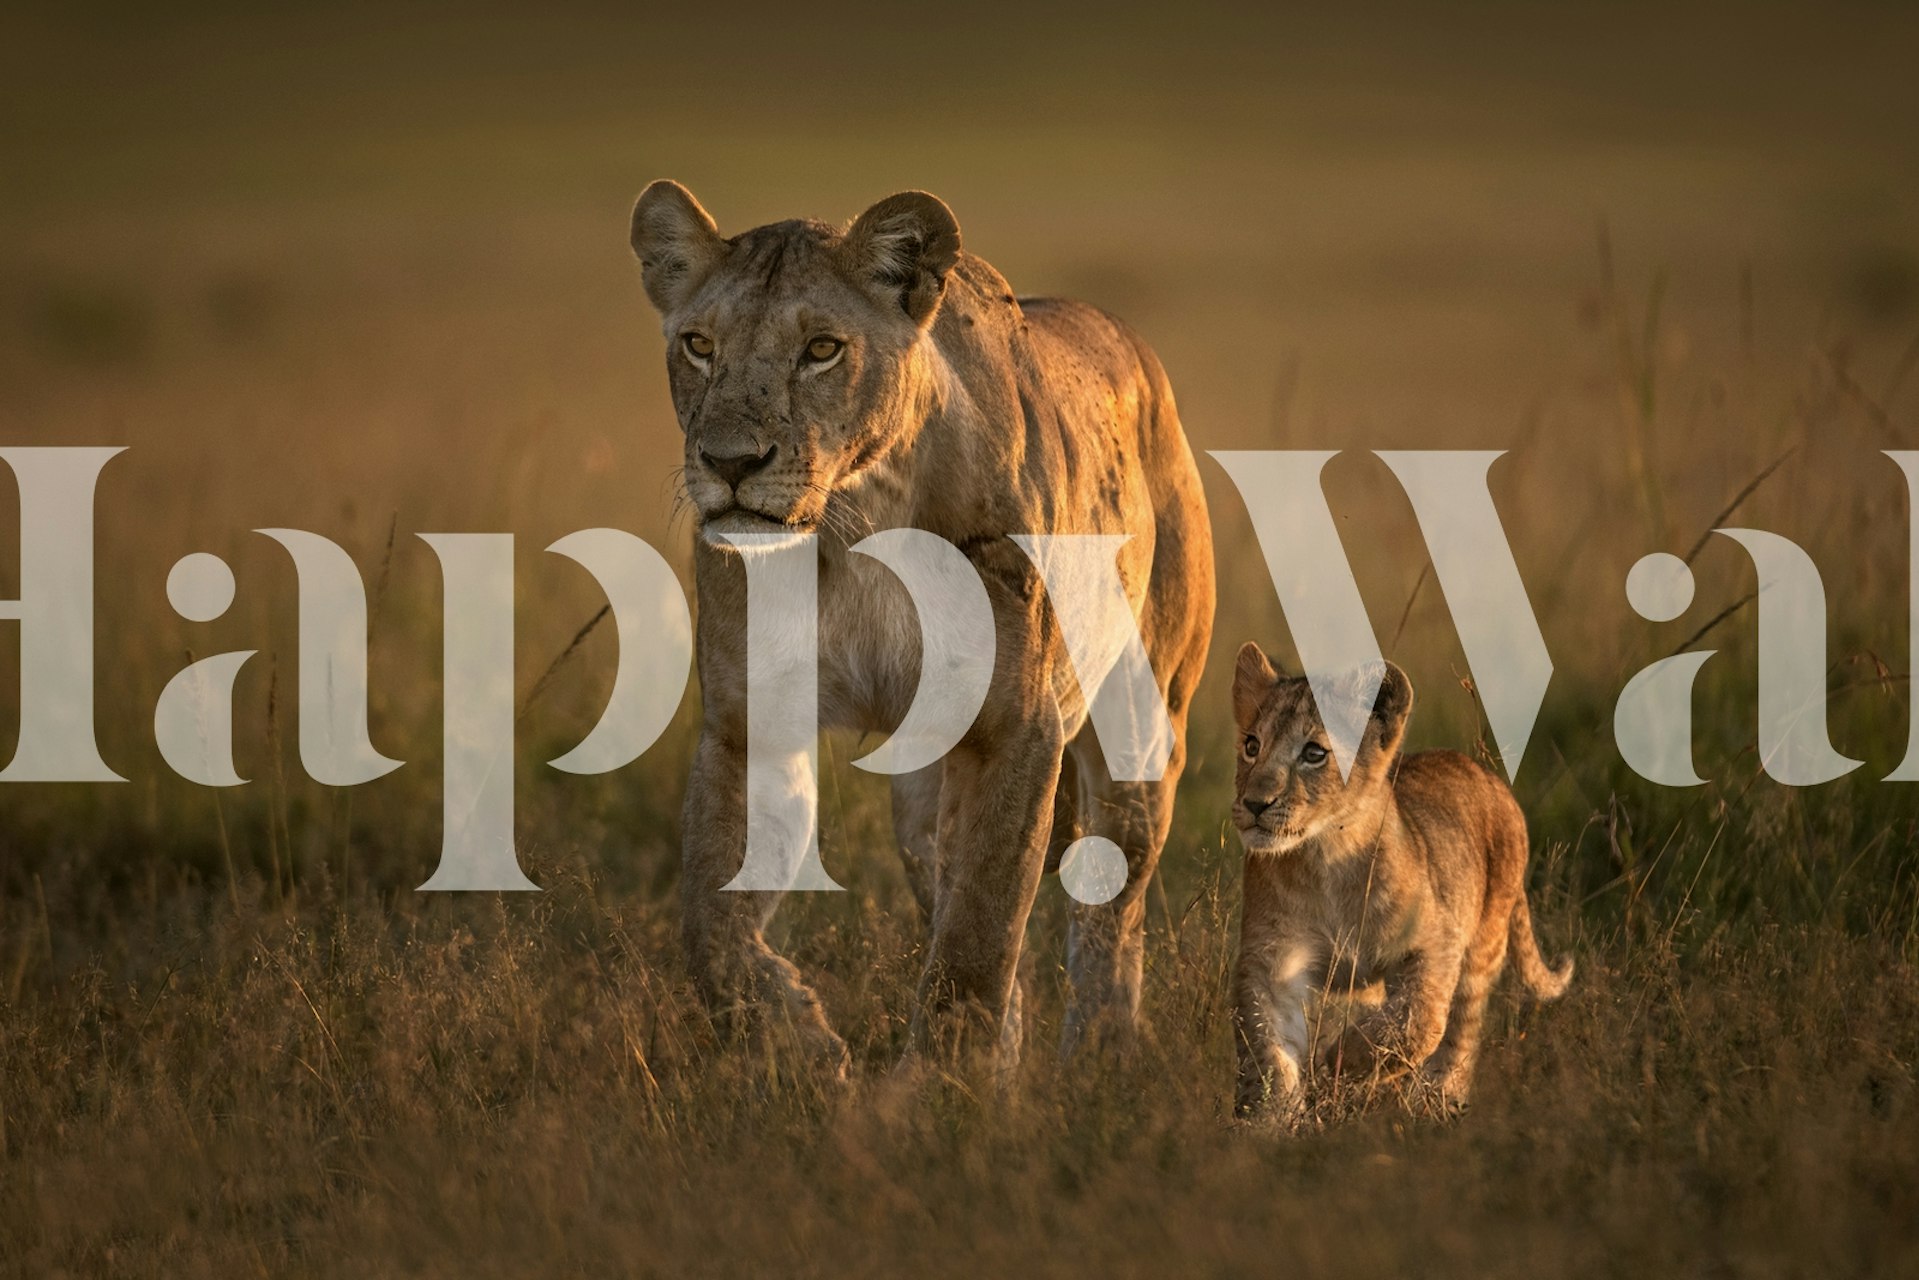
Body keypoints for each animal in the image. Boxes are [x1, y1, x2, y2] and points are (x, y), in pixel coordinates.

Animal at [628, 181, 1215, 1071]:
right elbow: (710, 924)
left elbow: (978, 936)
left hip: (1142, 724)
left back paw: (1098, 1059)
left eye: (822, 350)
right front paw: (800, 1044)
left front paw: (942, 1089)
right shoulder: (747, 724)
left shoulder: (1014, 728)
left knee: (1111, 908)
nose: (729, 462)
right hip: (920, 792)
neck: (854, 521)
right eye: (698, 345)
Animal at [1227, 642, 1572, 1119]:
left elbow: (1419, 1019)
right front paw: (1269, 1118)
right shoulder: (1272, 960)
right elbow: (1268, 1050)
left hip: (1483, 945)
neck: (1325, 858)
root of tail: (1487, 775)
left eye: (1314, 753)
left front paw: (1341, 1060)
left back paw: (1437, 1100)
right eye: (1251, 745)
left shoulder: (1436, 941)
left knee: (1461, 1031)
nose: (1255, 803)